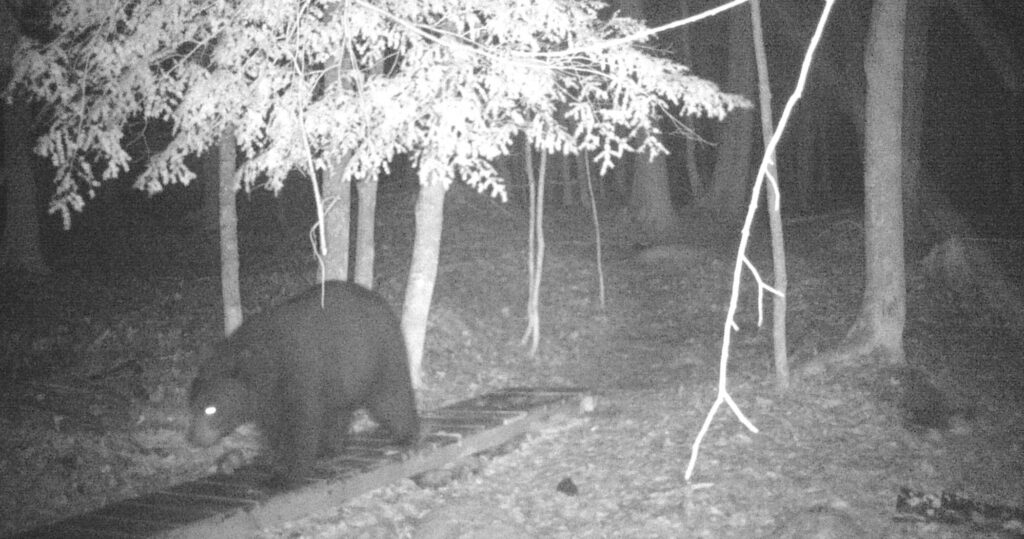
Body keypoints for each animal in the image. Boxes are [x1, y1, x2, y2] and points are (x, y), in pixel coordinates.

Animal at [188, 280, 419, 484]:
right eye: (192, 407)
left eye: (211, 409)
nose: (192, 439)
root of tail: (380, 300)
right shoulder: (269, 401)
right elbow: (275, 428)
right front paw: (276, 459)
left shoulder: (299, 377)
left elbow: (300, 426)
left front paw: (286, 475)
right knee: (338, 412)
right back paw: (330, 449)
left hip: (377, 357)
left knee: (391, 398)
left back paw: (405, 437)